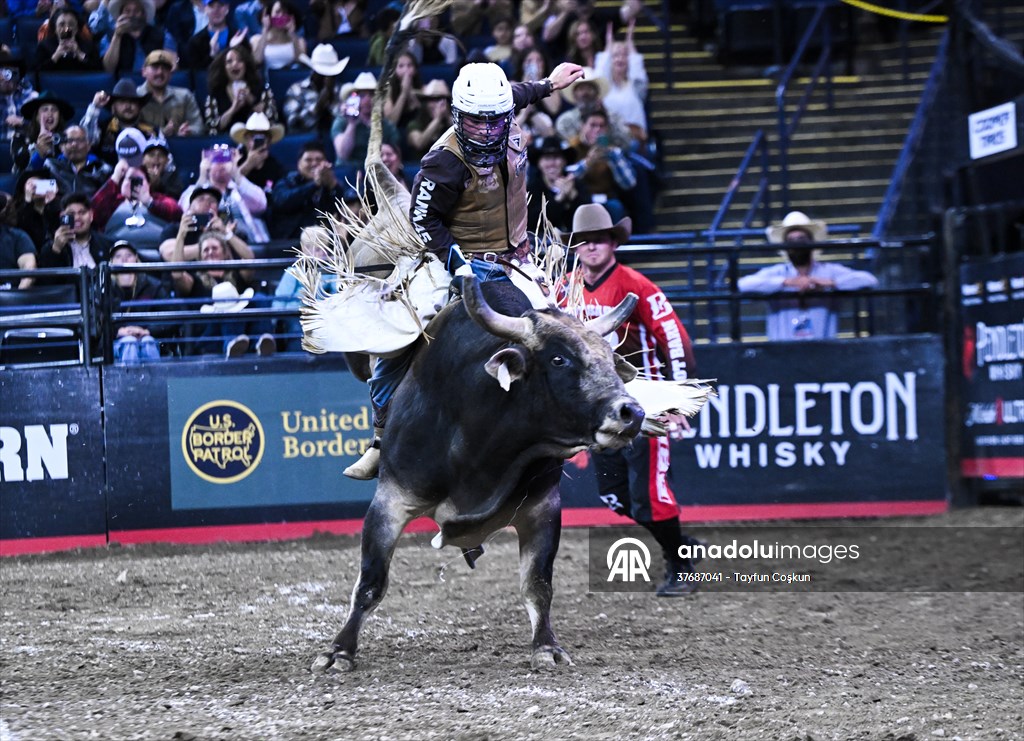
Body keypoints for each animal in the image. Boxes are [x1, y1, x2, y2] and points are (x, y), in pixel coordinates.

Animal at [311, 277, 645, 672]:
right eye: (559, 358)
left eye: (610, 357)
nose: (632, 413)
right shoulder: (391, 500)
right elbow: (370, 582)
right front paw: (338, 651)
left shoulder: (543, 508)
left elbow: (538, 585)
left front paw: (546, 647)